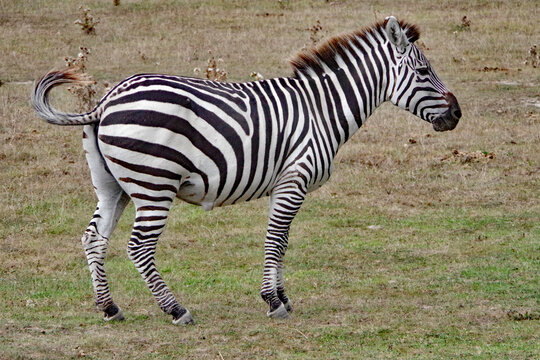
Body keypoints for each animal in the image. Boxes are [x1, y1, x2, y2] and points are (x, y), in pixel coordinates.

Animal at [30, 16, 460, 324]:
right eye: (423, 72)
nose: (456, 114)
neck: (321, 110)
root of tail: (105, 101)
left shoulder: (285, 185)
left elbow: (282, 243)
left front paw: (281, 296)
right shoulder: (294, 179)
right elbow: (274, 240)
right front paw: (274, 302)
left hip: (112, 185)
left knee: (93, 239)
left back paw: (110, 308)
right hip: (154, 184)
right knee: (139, 246)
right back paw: (175, 309)